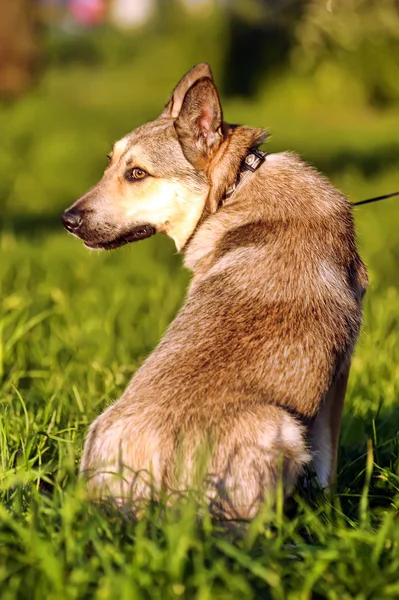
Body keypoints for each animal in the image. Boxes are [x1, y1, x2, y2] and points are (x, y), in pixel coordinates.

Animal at [61, 63, 368, 516]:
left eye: (136, 173)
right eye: (110, 164)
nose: (67, 220)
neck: (234, 187)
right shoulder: (338, 373)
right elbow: (327, 462)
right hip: (281, 429)